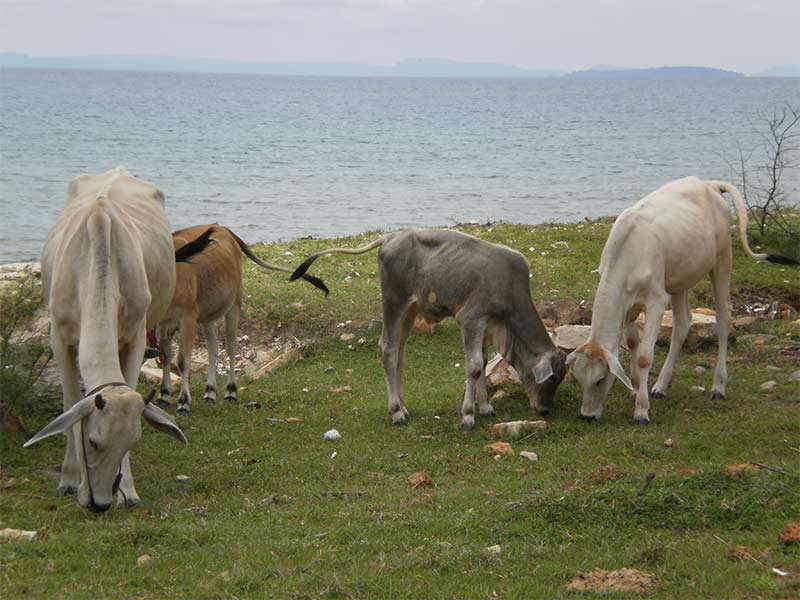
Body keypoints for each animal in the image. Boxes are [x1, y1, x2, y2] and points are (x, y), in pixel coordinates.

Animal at [156, 223, 328, 414]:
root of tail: (223, 228)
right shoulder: (161, 323)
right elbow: (165, 356)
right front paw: (164, 395)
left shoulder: (188, 318)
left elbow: (182, 360)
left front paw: (184, 402)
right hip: (209, 313)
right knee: (213, 348)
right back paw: (210, 392)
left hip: (234, 304)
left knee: (231, 346)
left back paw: (231, 391)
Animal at [290, 227, 564, 428]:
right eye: (551, 380)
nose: (544, 409)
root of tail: (390, 237)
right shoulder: (471, 318)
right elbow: (475, 366)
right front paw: (468, 415)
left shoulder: (488, 324)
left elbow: (483, 363)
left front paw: (485, 407)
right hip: (393, 302)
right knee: (388, 349)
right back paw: (396, 412)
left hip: (410, 310)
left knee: (399, 352)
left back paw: (403, 406)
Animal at [564, 176, 796, 424]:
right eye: (578, 378)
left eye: (600, 379)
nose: (587, 416)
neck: (627, 254)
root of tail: (709, 184)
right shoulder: (629, 305)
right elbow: (633, 342)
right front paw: (635, 389)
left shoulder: (656, 299)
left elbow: (644, 356)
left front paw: (641, 410)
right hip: (680, 280)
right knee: (683, 323)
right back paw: (661, 386)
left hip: (723, 259)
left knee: (723, 319)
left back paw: (718, 386)